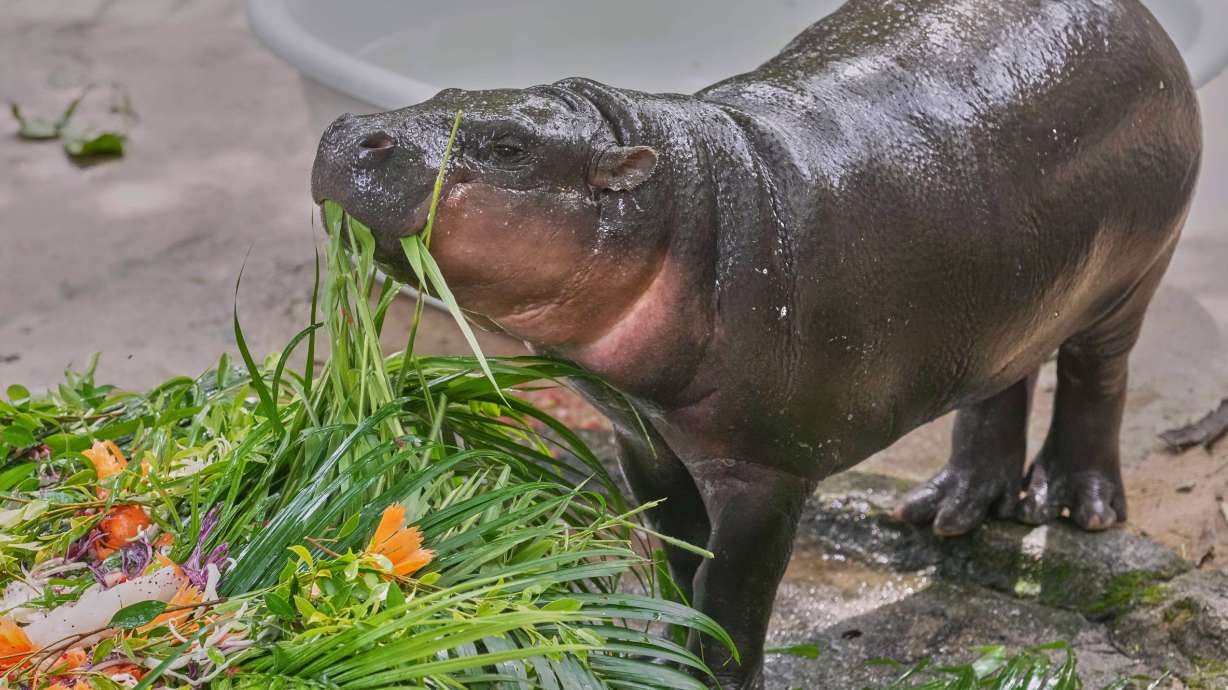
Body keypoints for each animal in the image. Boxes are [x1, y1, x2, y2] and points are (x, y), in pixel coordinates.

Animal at [310, 0, 1202, 686]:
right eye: (446, 90)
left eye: (508, 148)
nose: (349, 131)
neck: (682, 205)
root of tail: (1140, 18)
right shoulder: (640, 437)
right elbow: (677, 551)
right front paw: (666, 652)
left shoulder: (765, 472)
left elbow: (732, 584)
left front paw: (713, 672)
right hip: (1012, 297)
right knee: (1002, 381)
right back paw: (947, 512)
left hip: (1133, 276)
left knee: (1095, 375)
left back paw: (1074, 506)